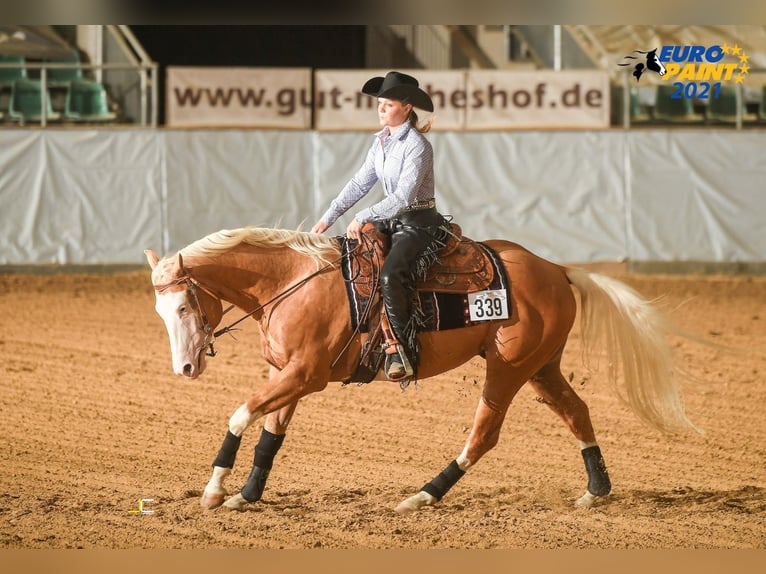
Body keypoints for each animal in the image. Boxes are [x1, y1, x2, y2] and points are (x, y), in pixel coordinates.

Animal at [144, 226, 699, 514]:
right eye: (160, 312)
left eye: (184, 307)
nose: (185, 367)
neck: (293, 281)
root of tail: (557, 270)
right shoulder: (290, 376)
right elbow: (270, 436)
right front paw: (247, 495)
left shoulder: (304, 375)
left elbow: (241, 415)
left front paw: (215, 490)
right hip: (542, 367)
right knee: (577, 412)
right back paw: (595, 491)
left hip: (509, 369)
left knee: (484, 434)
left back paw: (423, 495)